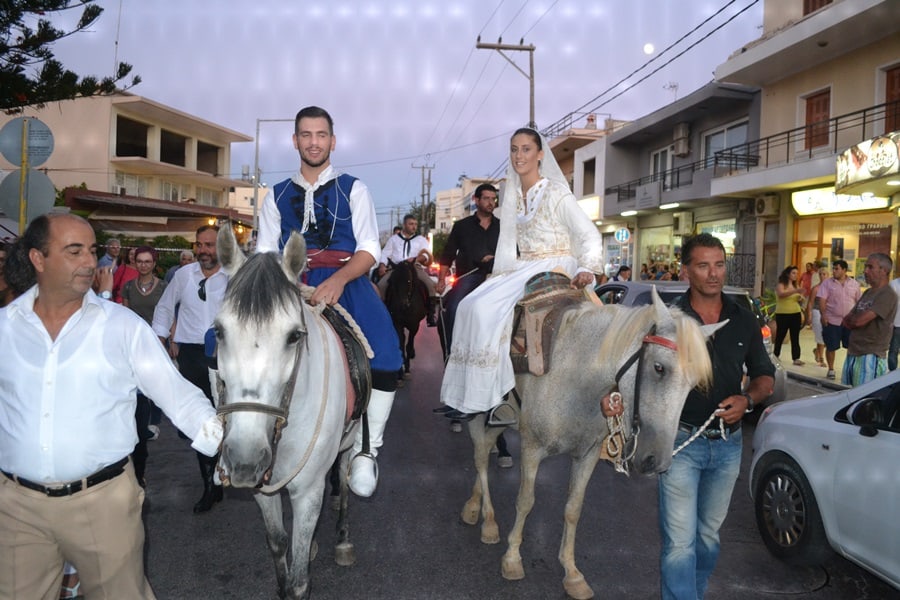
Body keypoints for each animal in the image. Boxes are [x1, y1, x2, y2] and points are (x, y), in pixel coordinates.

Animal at [214, 229, 358, 600]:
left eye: (294, 336)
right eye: (218, 331)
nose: (245, 458)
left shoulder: (308, 492)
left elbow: (299, 581)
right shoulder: (262, 488)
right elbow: (278, 542)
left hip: (350, 444)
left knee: (345, 480)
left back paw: (343, 535)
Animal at [464, 288, 724, 596]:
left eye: (693, 383)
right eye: (659, 368)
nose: (657, 462)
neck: (575, 375)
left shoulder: (586, 455)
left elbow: (573, 509)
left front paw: (572, 573)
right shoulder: (531, 448)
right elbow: (525, 501)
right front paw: (513, 558)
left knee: (484, 450)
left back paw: (474, 506)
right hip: (477, 412)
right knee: (480, 456)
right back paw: (488, 521)